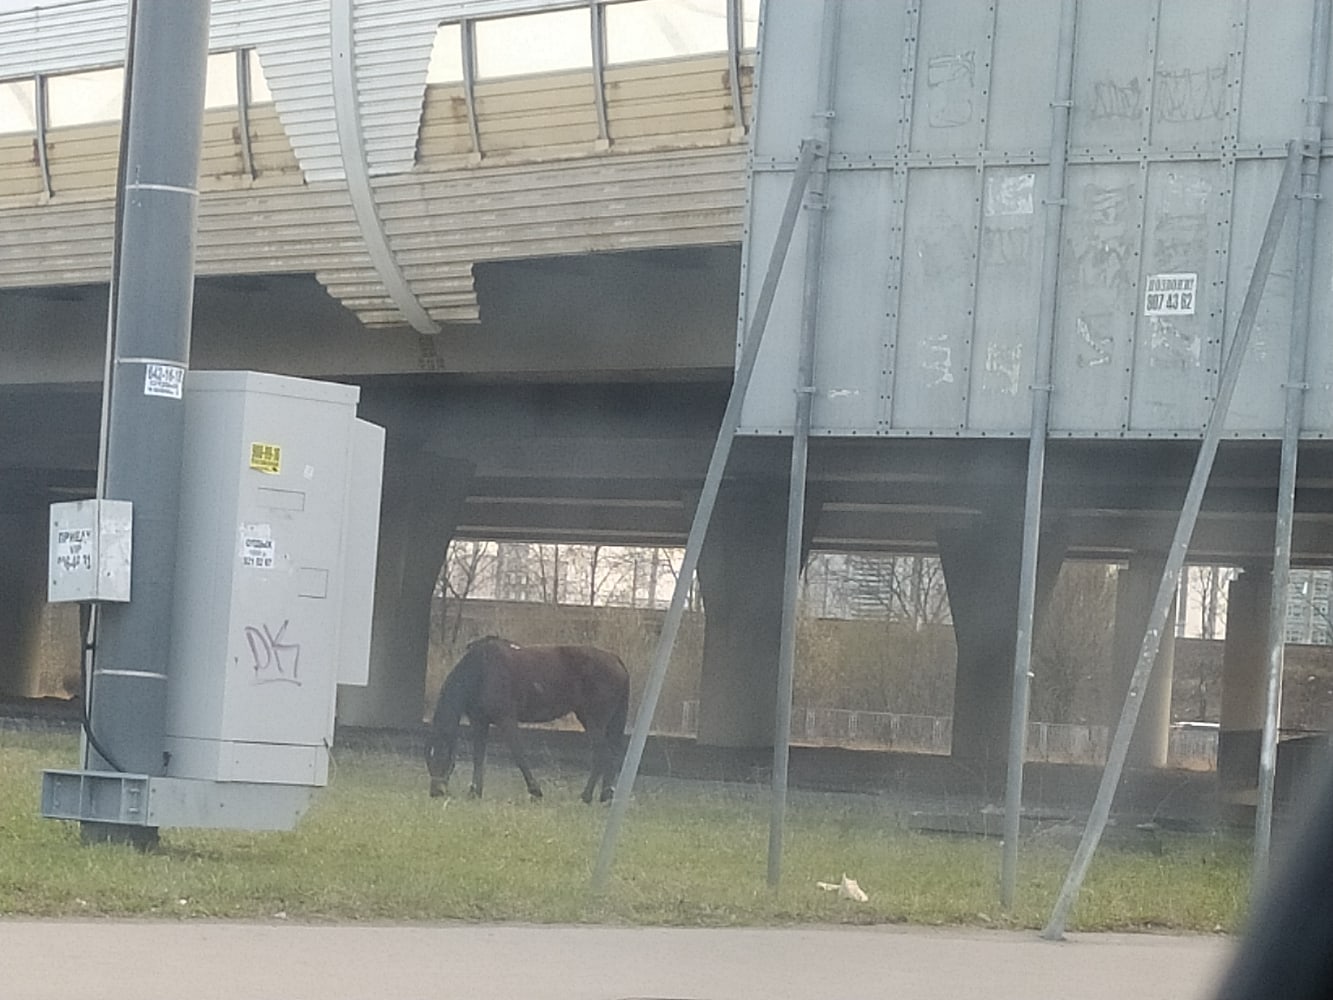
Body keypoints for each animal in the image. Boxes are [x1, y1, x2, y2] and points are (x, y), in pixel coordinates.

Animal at [429, 642, 631, 805]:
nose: (435, 792)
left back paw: (588, 797)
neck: (482, 671)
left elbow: (518, 754)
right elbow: (478, 757)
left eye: (441, 753)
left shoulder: (506, 719)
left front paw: (535, 791)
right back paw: (604, 797)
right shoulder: (480, 722)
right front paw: (474, 793)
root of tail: (616, 659)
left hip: (593, 721)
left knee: (603, 755)